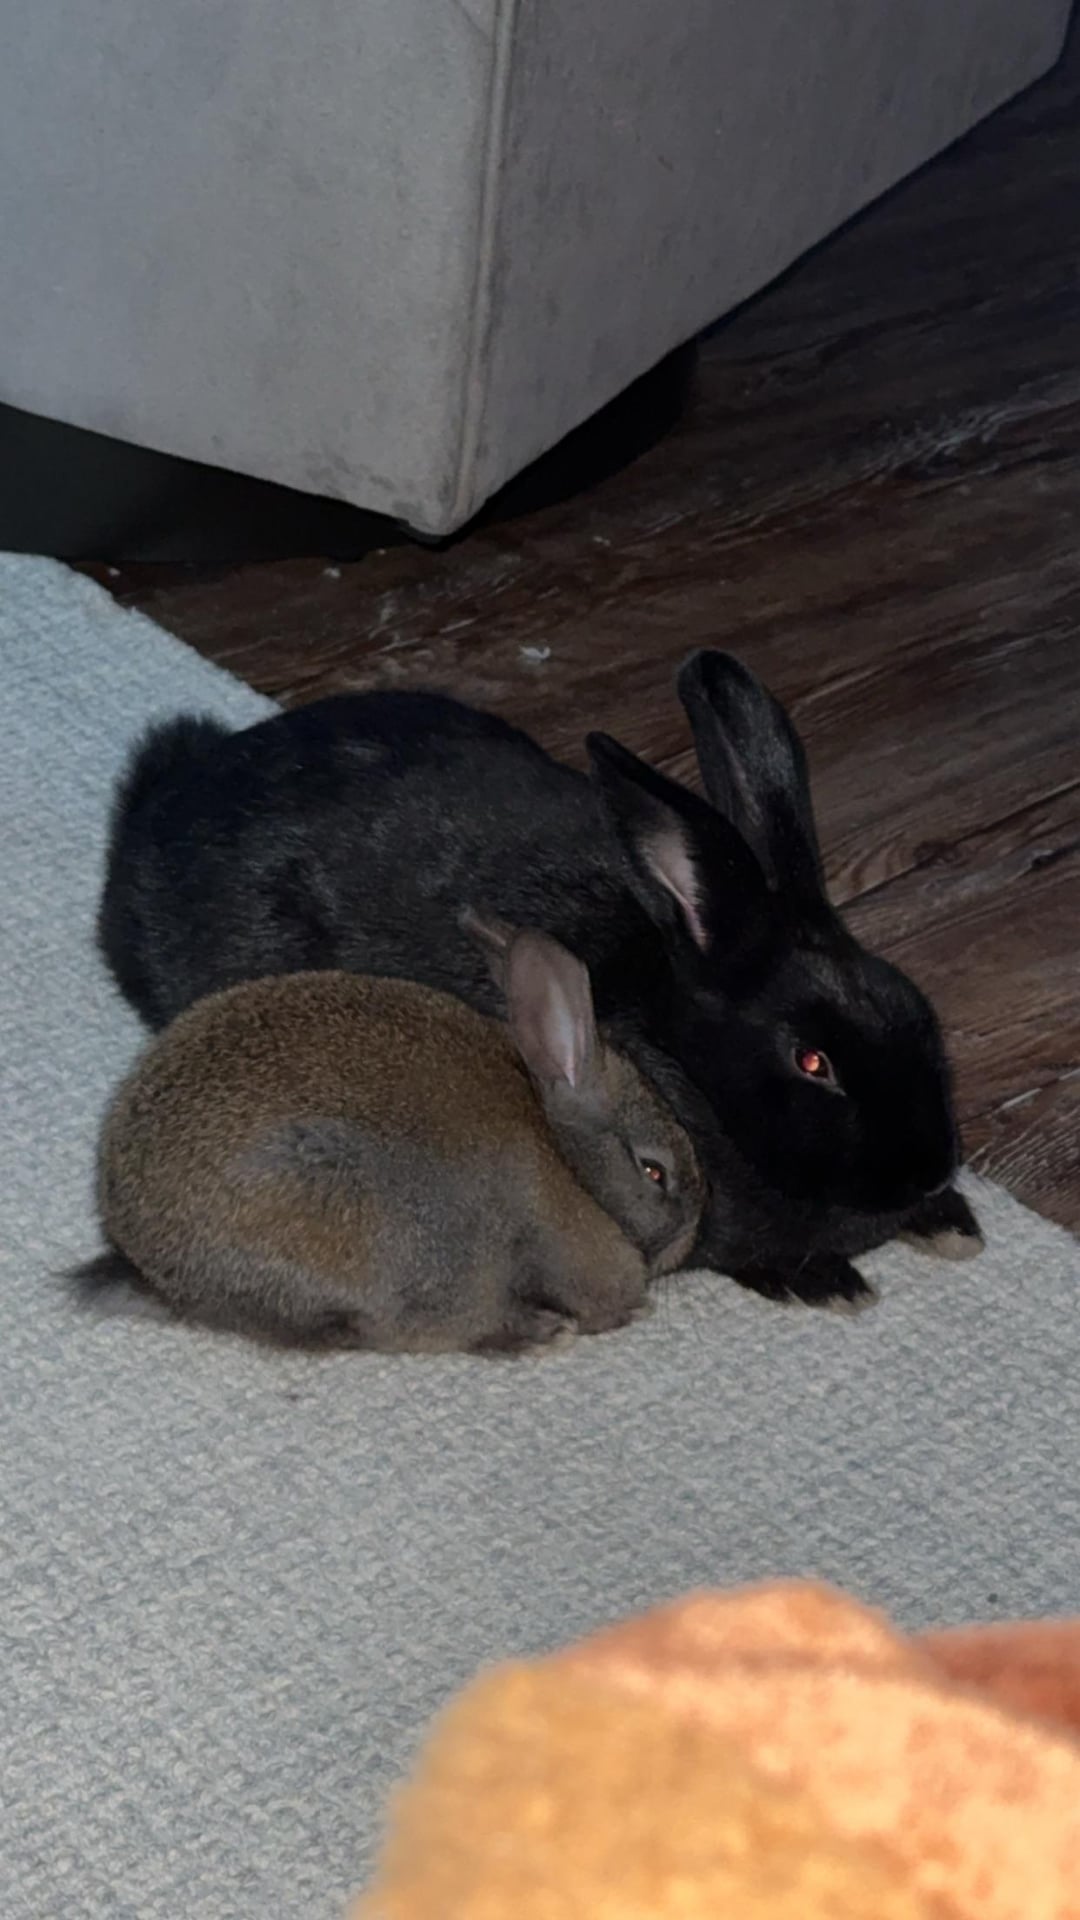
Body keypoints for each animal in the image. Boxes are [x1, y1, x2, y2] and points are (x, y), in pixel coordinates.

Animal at [96, 651, 981, 1310]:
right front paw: (831, 1283)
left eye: (923, 1017)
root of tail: (151, 816)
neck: (687, 1058)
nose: (929, 1166)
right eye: (812, 1062)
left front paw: (952, 1223)